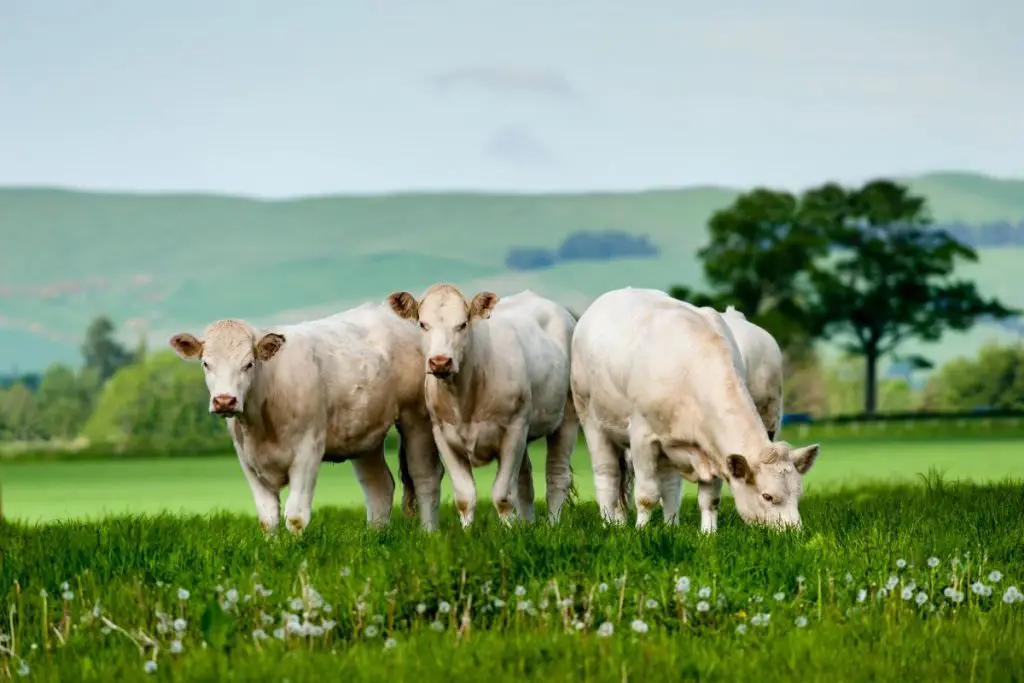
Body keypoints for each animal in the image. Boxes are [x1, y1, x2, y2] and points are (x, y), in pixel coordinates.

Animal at [165, 303, 442, 532]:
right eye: (206, 363)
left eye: (249, 364)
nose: (224, 400)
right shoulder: (247, 460)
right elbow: (268, 519)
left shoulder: (308, 451)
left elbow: (296, 516)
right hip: (365, 436)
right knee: (379, 486)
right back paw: (376, 538)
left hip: (417, 419)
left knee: (425, 477)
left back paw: (428, 534)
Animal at [385, 284, 581, 528]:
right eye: (423, 324)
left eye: (462, 324)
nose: (440, 362)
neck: (464, 399)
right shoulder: (442, 435)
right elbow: (465, 497)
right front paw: (469, 532)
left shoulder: (514, 431)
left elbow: (502, 496)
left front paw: (509, 533)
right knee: (525, 481)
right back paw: (527, 525)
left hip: (567, 417)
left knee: (557, 476)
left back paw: (552, 525)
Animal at [573, 286, 819, 532]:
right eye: (767, 496)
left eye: (798, 495)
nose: (794, 532)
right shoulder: (642, 438)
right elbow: (646, 496)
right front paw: (641, 531)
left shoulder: (713, 447)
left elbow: (709, 499)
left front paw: (708, 533)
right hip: (592, 421)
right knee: (607, 476)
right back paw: (609, 524)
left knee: (668, 484)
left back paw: (671, 525)